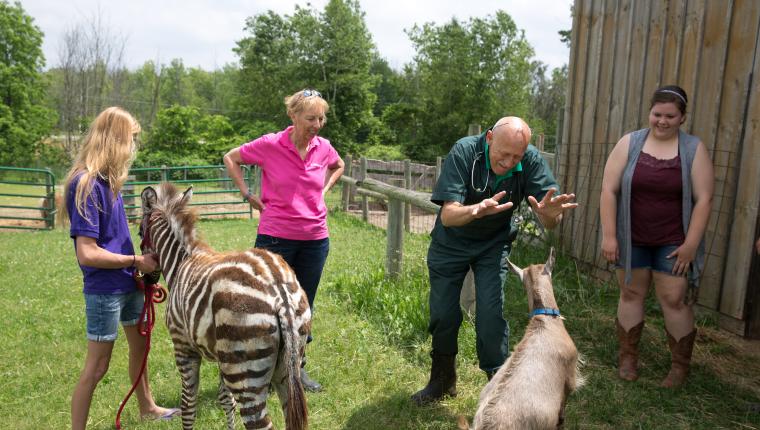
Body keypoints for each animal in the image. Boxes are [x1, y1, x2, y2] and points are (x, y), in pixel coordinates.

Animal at [140, 182, 308, 430]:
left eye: (140, 233)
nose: (146, 281)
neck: (181, 262)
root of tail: (277, 285)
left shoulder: (183, 345)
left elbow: (188, 404)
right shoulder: (222, 357)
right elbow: (225, 400)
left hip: (245, 372)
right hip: (286, 365)